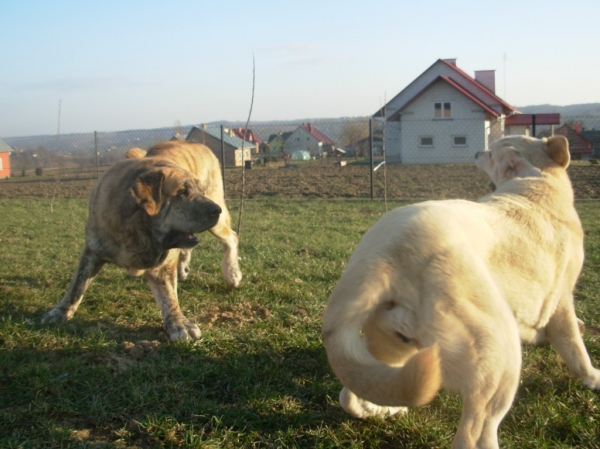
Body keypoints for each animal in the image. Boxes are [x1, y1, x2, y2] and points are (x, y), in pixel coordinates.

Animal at [324, 135, 600, 446]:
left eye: (491, 153)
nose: (478, 151)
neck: (535, 182)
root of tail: (382, 257)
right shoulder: (562, 300)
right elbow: (575, 348)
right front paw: (593, 377)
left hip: (393, 346)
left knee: (355, 393)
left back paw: (385, 409)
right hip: (499, 356)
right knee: (473, 435)